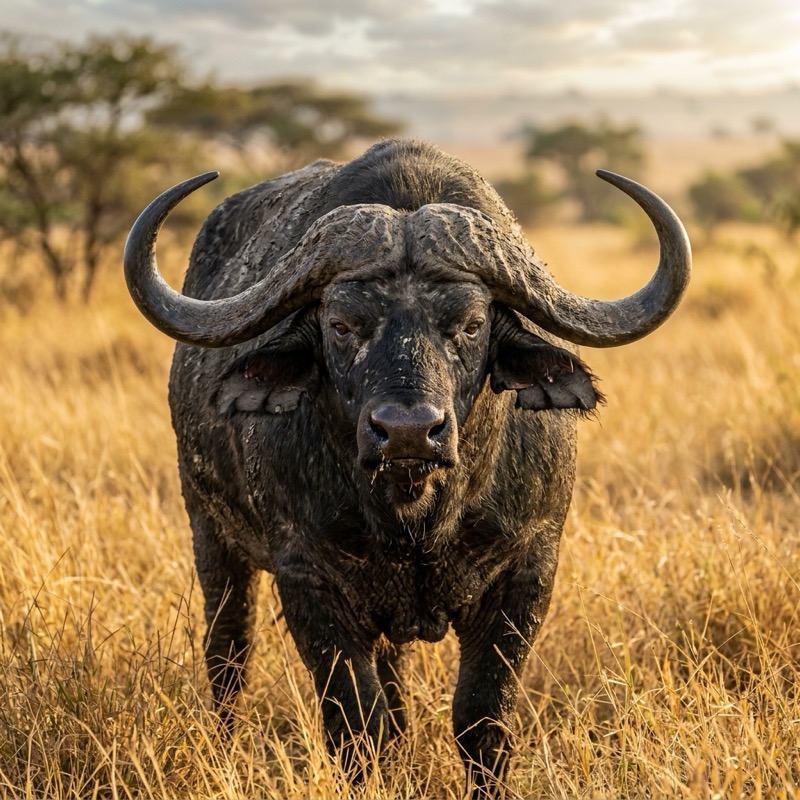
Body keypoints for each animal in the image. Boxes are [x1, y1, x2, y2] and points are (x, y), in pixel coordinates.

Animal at [124, 139, 690, 798]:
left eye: (470, 324)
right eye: (341, 325)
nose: (407, 431)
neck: (417, 512)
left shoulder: (529, 569)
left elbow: (481, 718)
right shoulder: (308, 579)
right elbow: (358, 723)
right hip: (210, 532)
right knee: (229, 651)